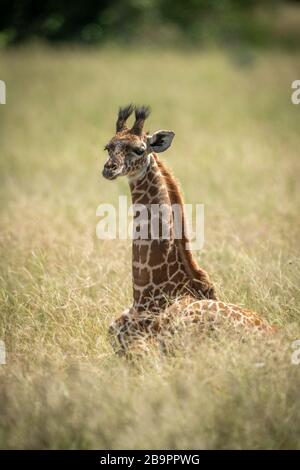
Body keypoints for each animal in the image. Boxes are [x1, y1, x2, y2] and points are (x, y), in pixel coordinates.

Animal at [102, 104, 276, 354]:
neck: (146, 294)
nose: (109, 169)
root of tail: (274, 337)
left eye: (139, 149)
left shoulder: (142, 347)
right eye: (108, 147)